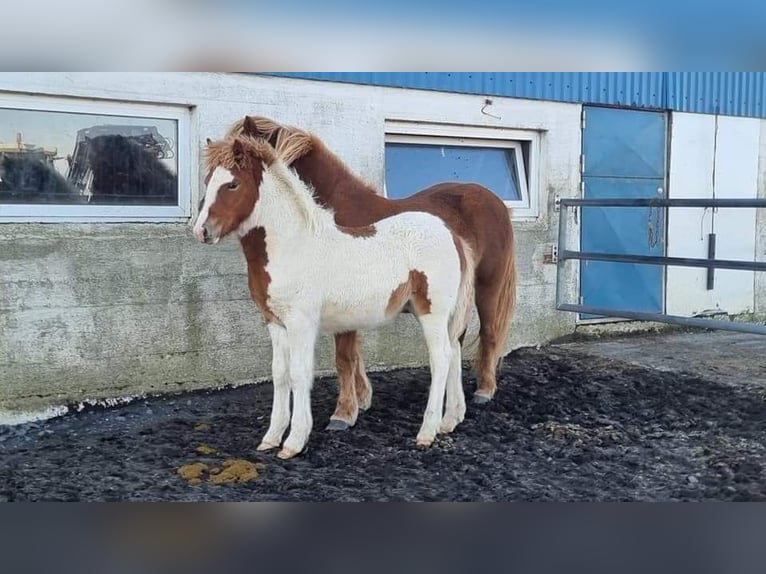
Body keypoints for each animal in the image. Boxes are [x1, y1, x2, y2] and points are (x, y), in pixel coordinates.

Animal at [195, 134, 476, 460]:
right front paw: (271, 438)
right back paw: (449, 421)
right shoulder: (275, 323)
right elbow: (280, 375)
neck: (291, 246)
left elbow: (299, 374)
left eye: (232, 185)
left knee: (441, 358)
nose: (201, 231)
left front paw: (294, 442)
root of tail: (452, 235)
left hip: (433, 313)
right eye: (208, 180)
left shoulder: (301, 323)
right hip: (443, 315)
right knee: (454, 352)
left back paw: (427, 432)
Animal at [225, 117, 520, 430]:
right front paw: (362, 399)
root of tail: (495, 202)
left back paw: (484, 391)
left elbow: (344, 357)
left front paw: (343, 413)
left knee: (489, 332)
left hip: (488, 286)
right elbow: (353, 356)